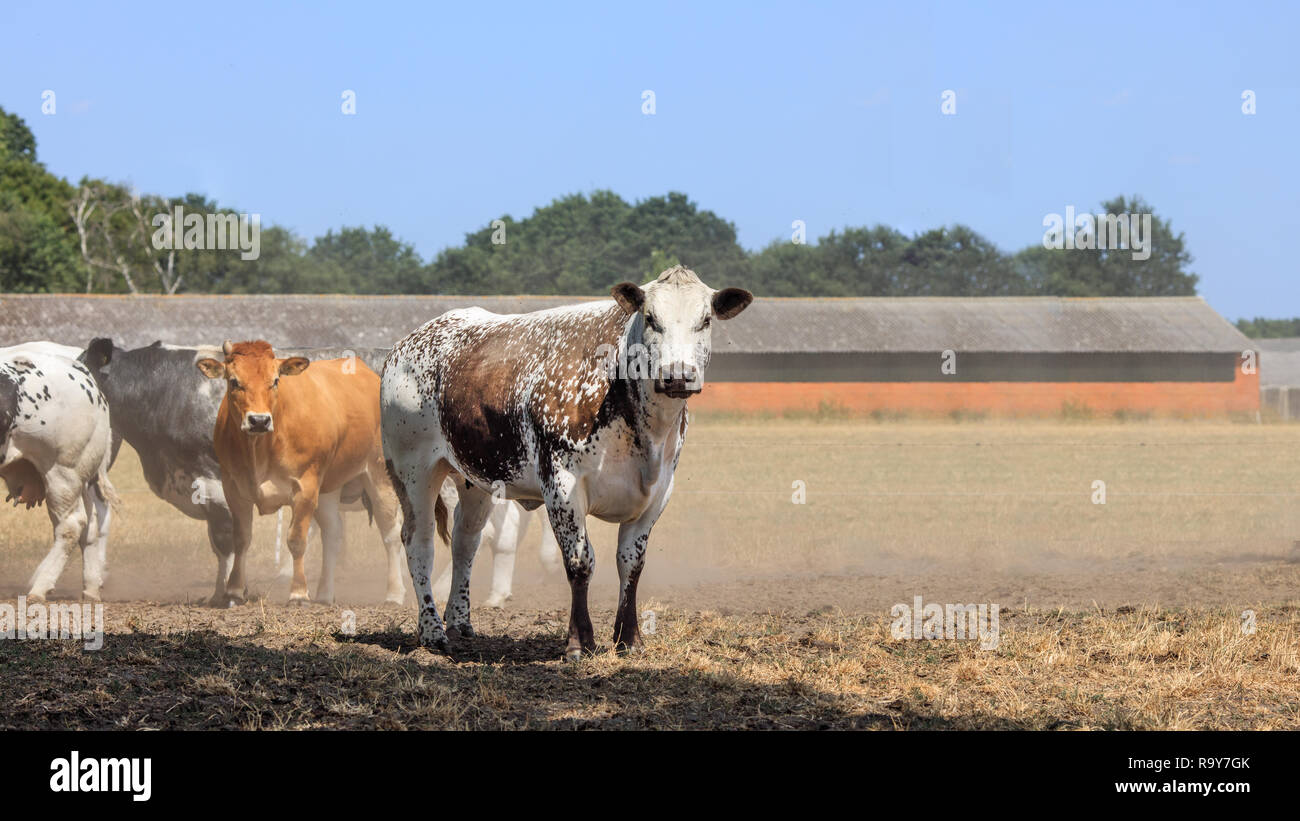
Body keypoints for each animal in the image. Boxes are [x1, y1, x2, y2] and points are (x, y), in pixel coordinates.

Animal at [0, 342, 118, 600]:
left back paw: (39, 587)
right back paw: (90, 587)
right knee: (90, 524)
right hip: (80, 476)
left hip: (62, 473)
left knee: (71, 525)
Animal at [192, 337, 436, 602]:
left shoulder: (305, 487)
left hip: (379, 476)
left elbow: (296, 540)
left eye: (275, 380)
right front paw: (234, 590)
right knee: (333, 534)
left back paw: (394, 593)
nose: (259, 421)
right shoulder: (233, 489)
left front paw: (298, 592)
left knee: (390, 534)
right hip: (329, 487)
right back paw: (325, 593)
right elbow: (241, 539)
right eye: (234, 381)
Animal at [379, 268, 754, 659]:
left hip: (476, 480)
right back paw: (432, 631)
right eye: (651, 318)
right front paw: (579, 642)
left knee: (466, 541)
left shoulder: (658, 492)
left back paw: (460, 622)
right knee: (419, 542)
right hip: (413, 471)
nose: (678, 374)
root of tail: (407, 344)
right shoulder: (562, 484)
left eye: (706, 320)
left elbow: (631, 564)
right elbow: (580, 561)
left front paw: (629, 639)